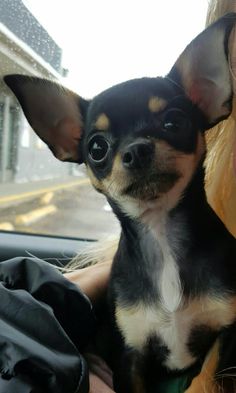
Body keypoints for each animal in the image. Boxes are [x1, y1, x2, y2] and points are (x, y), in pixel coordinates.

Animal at [4, 13, 236, 392]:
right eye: (97, 148)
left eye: (174, 122)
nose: (137, 150)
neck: (160, 234)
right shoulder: (131, 355)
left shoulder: (224, 332)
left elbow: (203, 377)